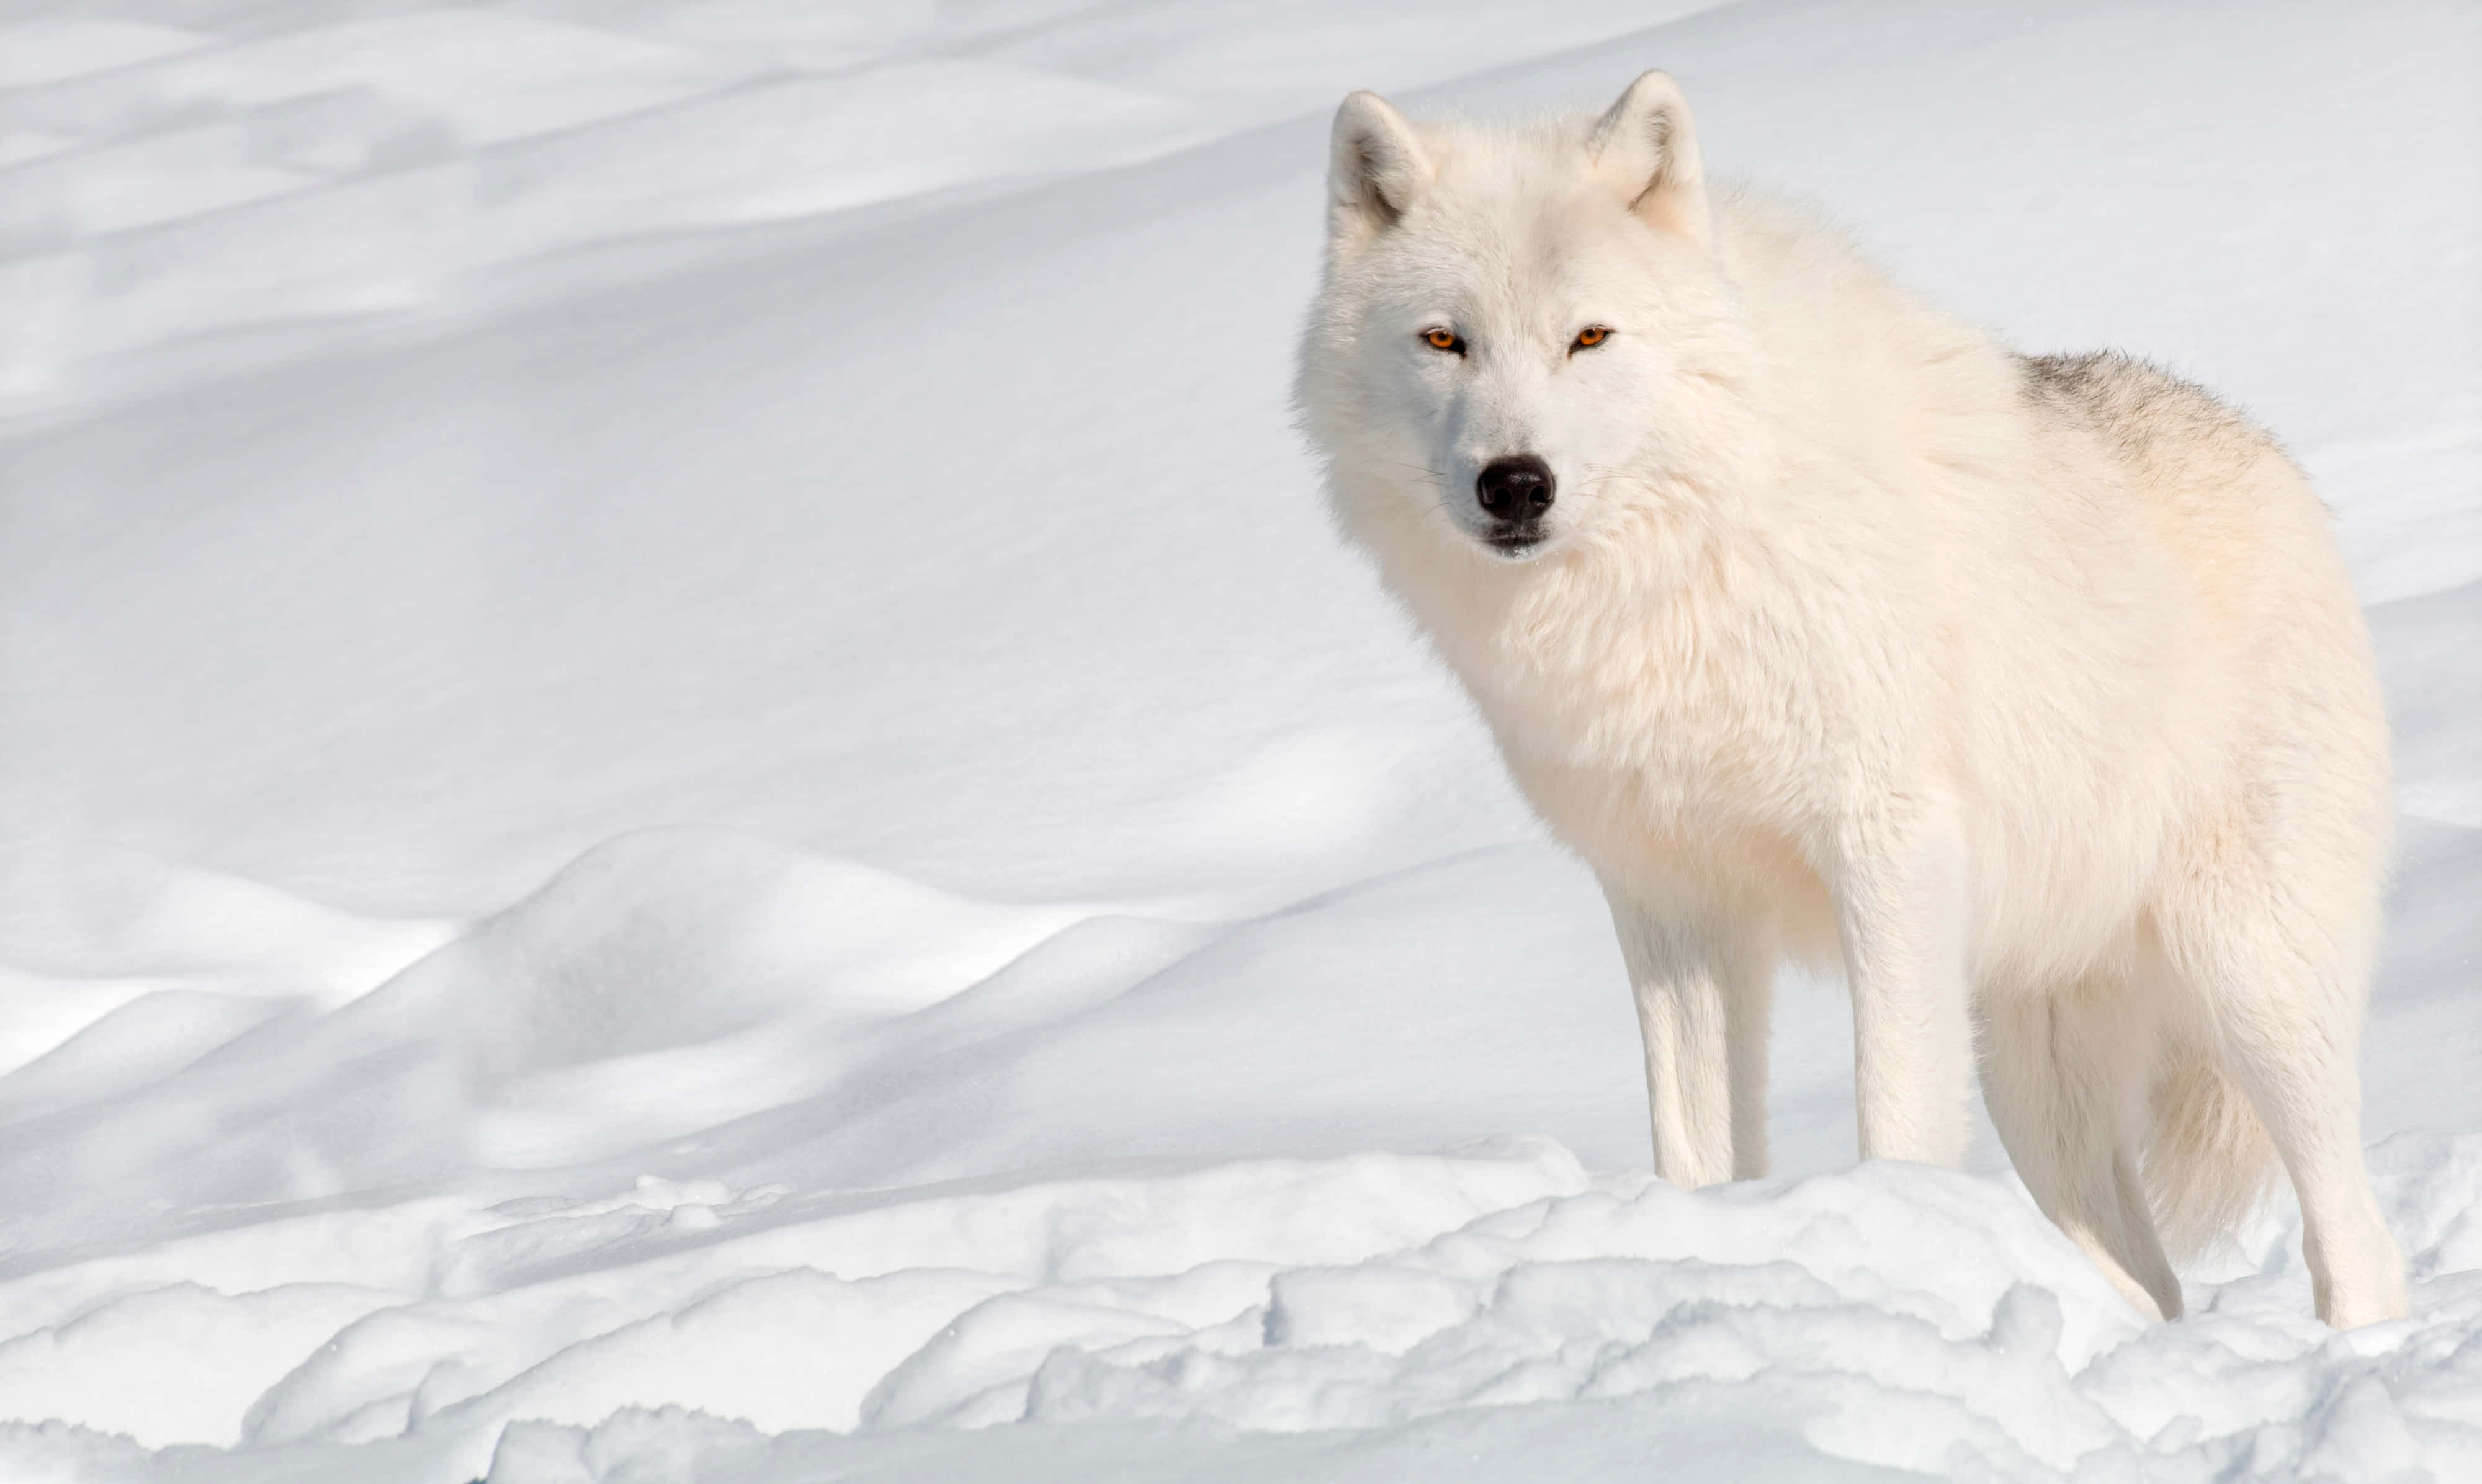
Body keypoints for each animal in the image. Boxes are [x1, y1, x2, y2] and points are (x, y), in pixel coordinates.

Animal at [1294, 72, 2405, 1327]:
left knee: (2356, 1237)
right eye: (1445, 340)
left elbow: (1898, 1112)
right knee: (2147, 1281)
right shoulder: (1671, 901)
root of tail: (2278, 464)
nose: (1515, 484)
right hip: (2040, 1081)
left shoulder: (1886, 846)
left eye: (1590, 337)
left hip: (2252, 983)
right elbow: (1698, 1147)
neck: (1680, 570)